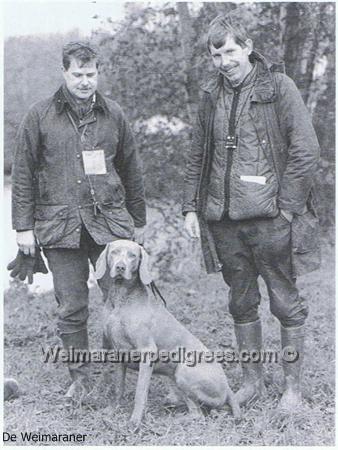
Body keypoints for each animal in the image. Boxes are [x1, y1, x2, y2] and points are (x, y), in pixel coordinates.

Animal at [95, 241, 240, 428]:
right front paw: (112, 411)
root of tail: (228, 387)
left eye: (133, 255)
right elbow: (118, 388)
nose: (120, 267)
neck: (121, 300)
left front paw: (135, 421)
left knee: (198, 415)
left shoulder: (147, 352)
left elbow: (140, 393)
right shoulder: (119, 354)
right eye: (114, 252)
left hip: (184, 372)